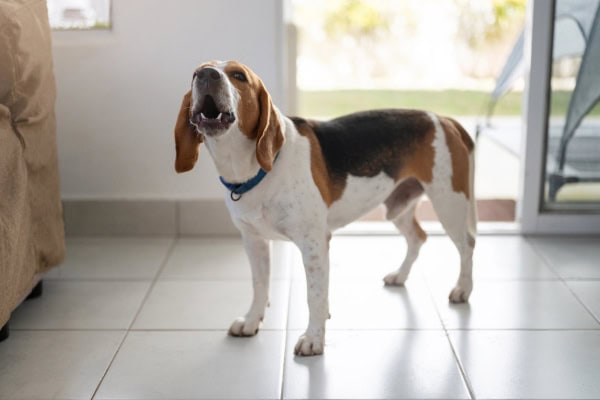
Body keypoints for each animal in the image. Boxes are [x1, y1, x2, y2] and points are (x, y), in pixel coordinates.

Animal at [173, 60, 478, 356]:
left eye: (238, 76)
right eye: (195, 74)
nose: (206, 75)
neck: (254, 170)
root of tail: (443, 119)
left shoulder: (314, 244)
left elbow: (315, 295)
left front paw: (313, 339)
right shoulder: (254, 241)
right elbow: (260, 286)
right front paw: (251, 321)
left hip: (449, 203)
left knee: (467, 244)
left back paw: (463, 289)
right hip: (398, 205)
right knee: (418, 237)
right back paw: (400, 275)